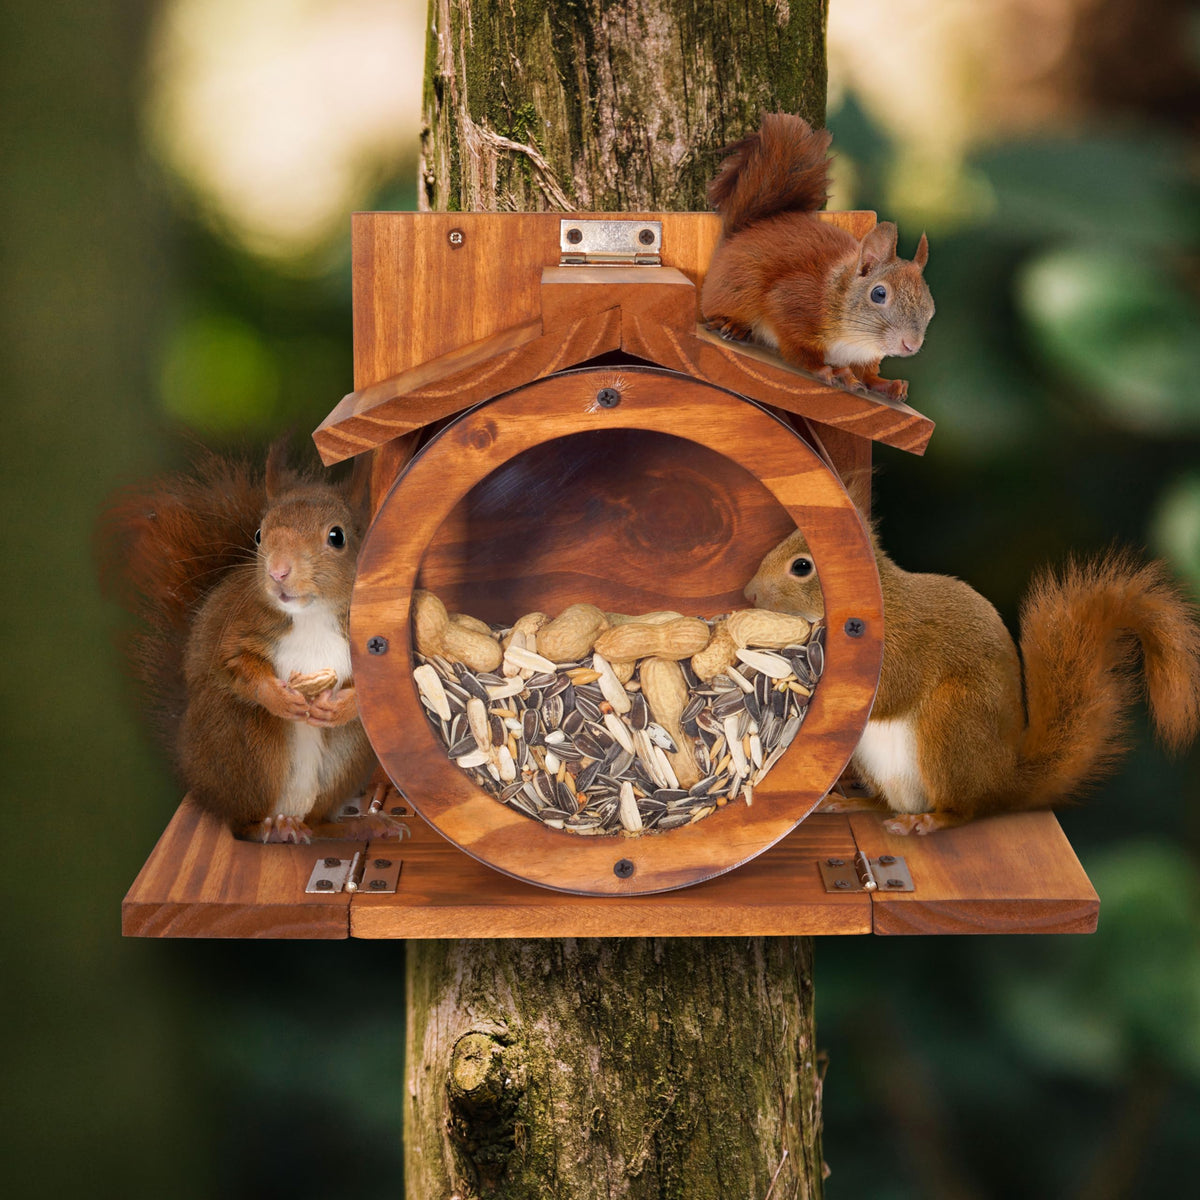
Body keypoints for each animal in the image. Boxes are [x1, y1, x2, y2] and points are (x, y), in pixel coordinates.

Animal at [102, 444, 404, 844]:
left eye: (337, 537)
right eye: (259, 535)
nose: (277, 572)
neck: (312, 614)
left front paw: (339, 707)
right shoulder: (238, 629)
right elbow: (233, 665)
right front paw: (278, 697)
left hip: (348, 754)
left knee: (320, 821)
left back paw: (363, 824)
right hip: (244, 743)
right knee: (241, 824)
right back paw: (271, 829)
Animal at [700, 112, 934, 402]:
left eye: (930, 306)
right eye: (879, 294)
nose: (910, 345)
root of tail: (739, 234)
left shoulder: (864, 356)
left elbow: (867, 373)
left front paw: (886, 384)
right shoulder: (792, 303)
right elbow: (799, 351)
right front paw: (830, 371)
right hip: (739, 287)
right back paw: (733, 324)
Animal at [744, 486, 1200, 834]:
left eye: (802, 566)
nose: (748, 593)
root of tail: (1002, 781)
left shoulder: (908, 642)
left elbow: (891, 689)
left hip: (952, 721)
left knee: (963, 809)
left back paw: (928, 821)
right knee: (889, 803)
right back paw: (855, 805)